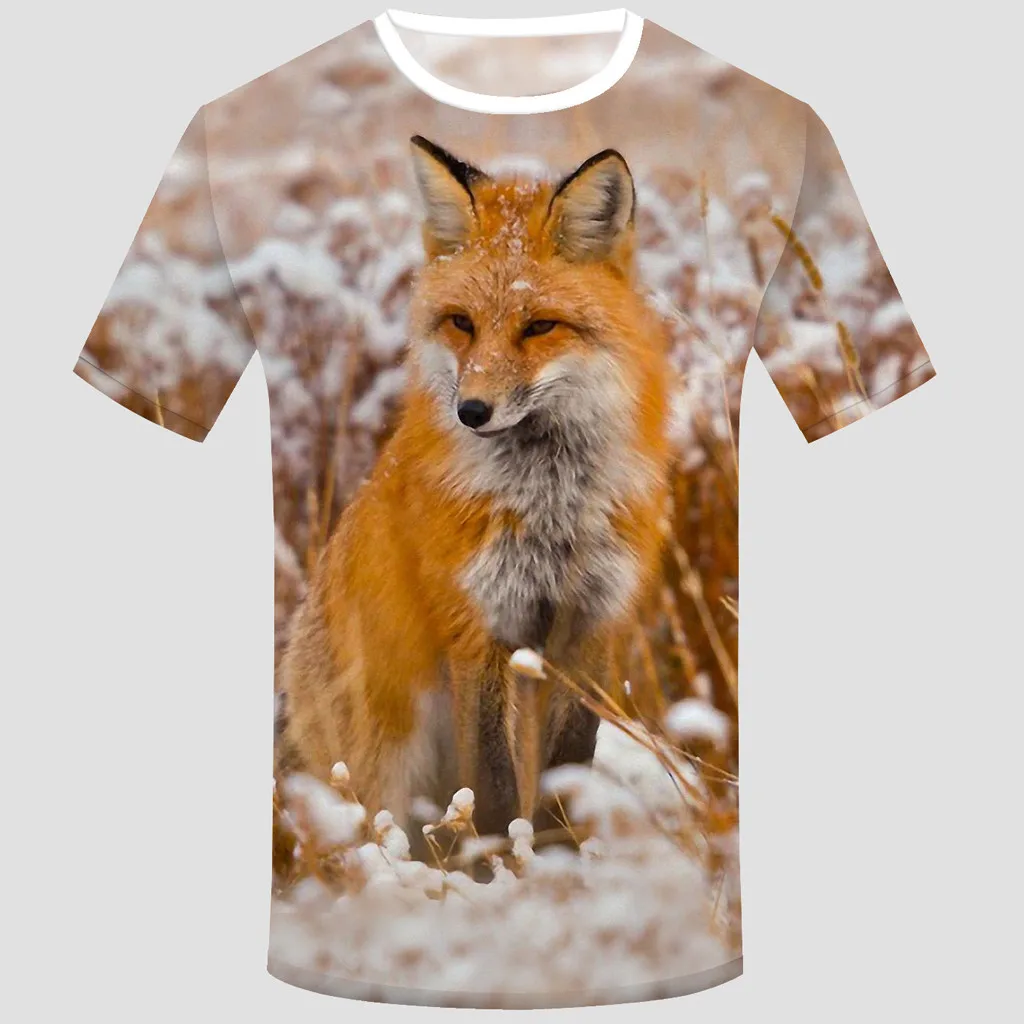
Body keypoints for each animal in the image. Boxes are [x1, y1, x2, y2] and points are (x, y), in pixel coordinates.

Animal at [277, 135, 672, 841]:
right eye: (461, 323)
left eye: (539, 326)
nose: (472, 411)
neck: (550, 505)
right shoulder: (477, 626)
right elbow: (489, 790)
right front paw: (500, 863)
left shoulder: (592, 625)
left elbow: (566, 774)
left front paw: (558, 859)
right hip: (385, 761)